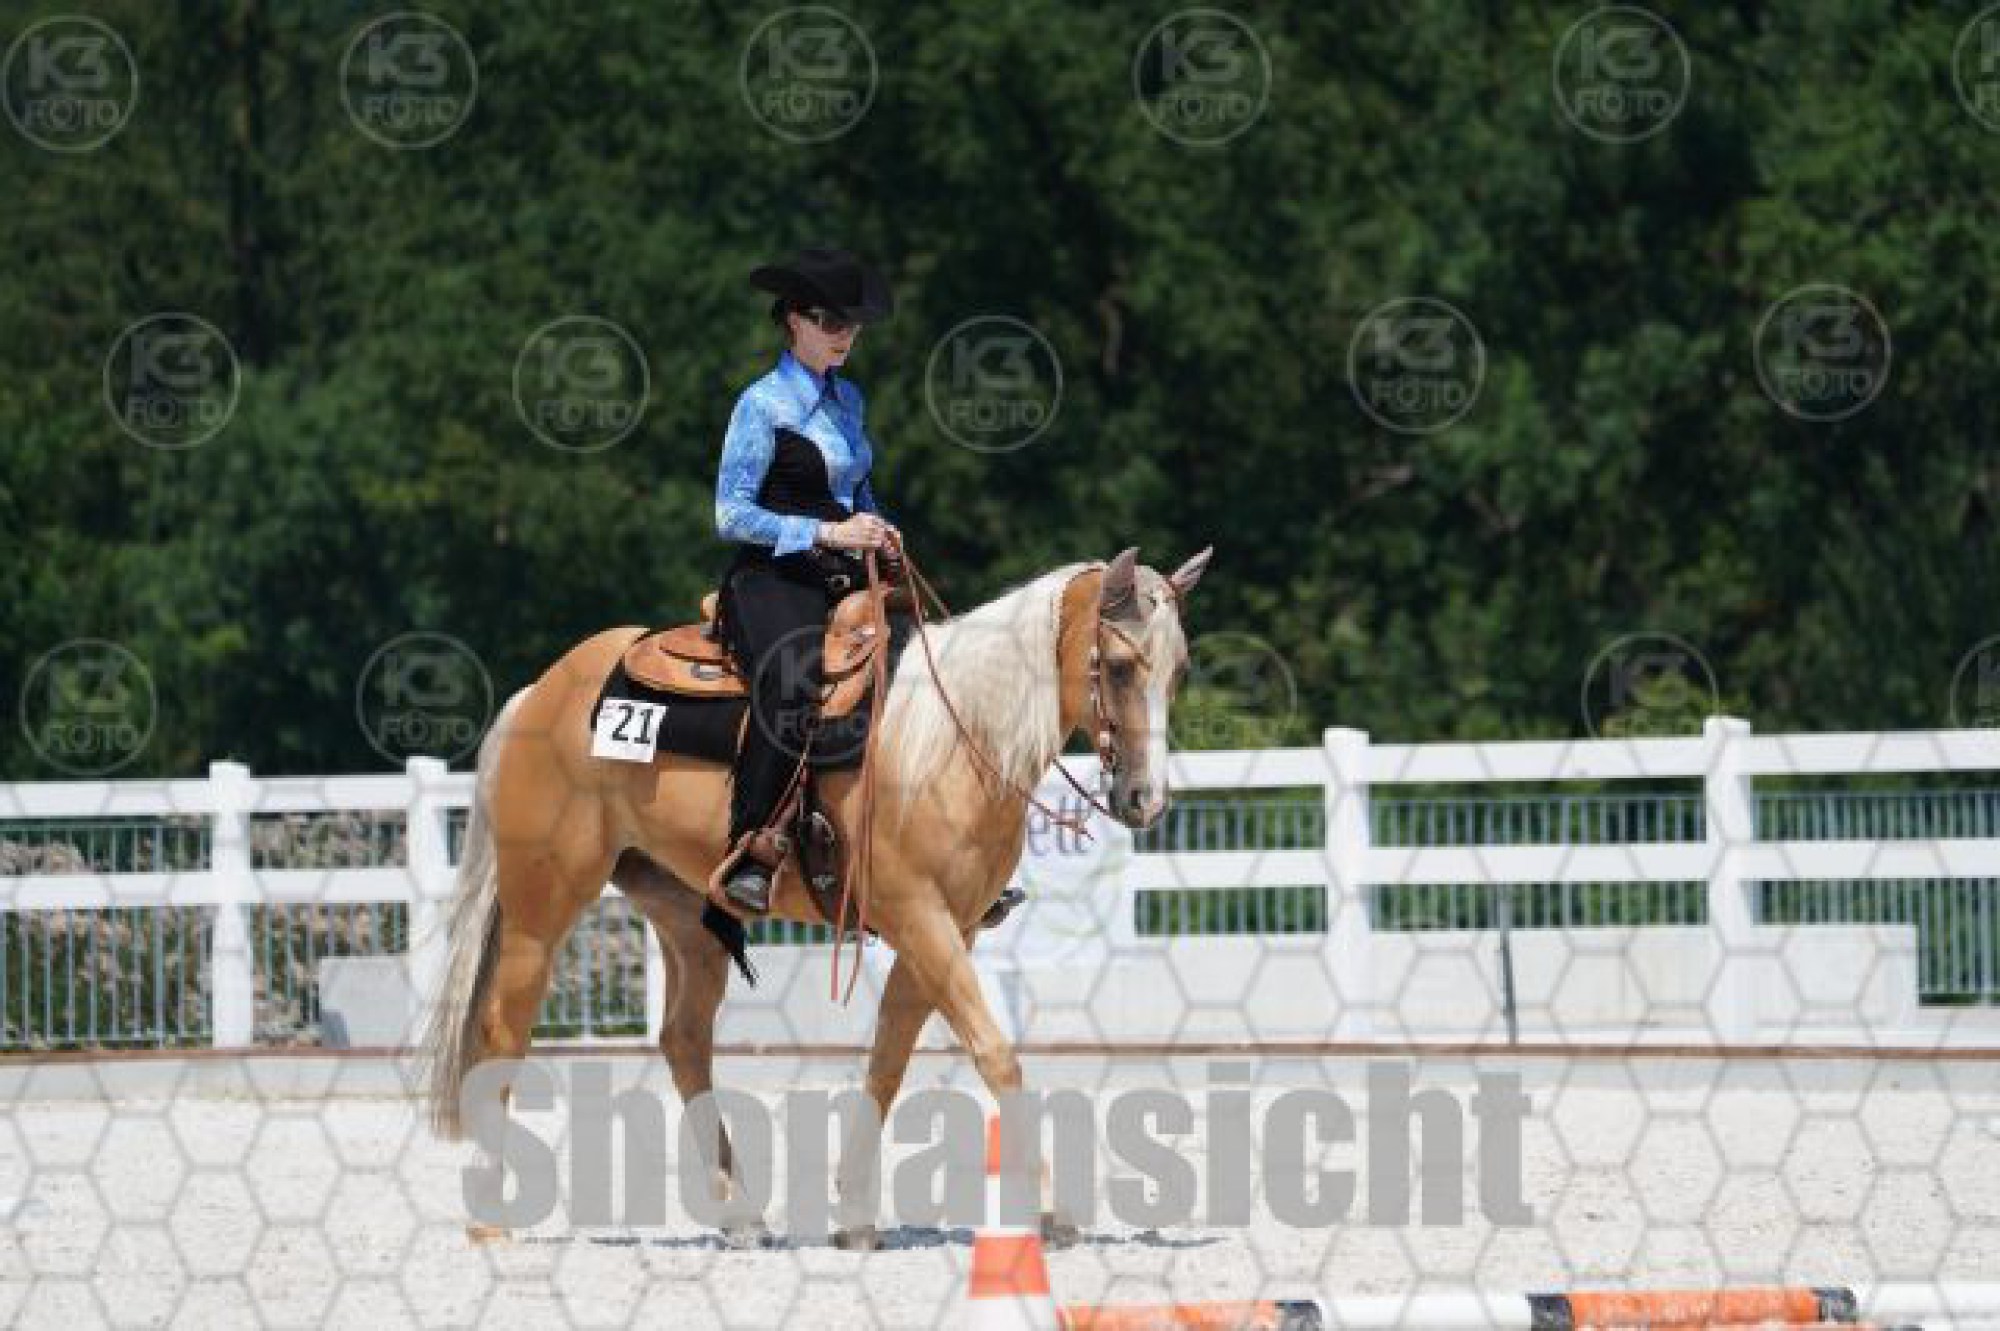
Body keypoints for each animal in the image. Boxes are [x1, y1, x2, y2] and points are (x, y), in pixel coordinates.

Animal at [419, 544, 1211, 1248]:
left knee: (683, 1039)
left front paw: (854, 1214)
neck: (948, 742)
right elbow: (994, 1051)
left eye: (1178, 671)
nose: (1146, 800)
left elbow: (889, 1058)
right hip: (543, 904)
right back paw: (490, 1216)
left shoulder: (946, 926)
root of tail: (541, 692)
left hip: (687, 917)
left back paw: (740, 1216)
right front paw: (1052, 1212)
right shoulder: (921, 918)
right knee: (503, 1032)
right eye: (1118, 665)